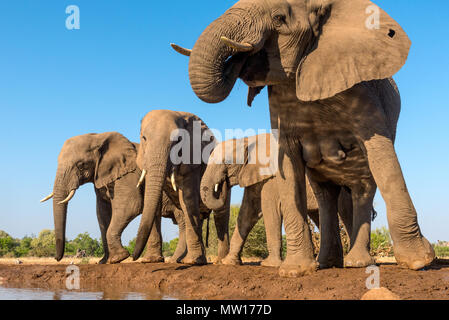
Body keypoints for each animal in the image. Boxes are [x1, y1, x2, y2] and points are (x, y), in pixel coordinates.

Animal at [38, 131, 186, 264]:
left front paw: (118, 258)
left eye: (81, 165)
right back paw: (157, 260)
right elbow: (102, 214)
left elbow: (132, 205)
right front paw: (104, 261)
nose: (56, 258)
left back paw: (175, 260)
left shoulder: (129, 174)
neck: (99, 137)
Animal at [130, 110, 228, 264]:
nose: (133, 257)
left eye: (178, 140)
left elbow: (187, 198)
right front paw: (151, 260)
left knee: (221, 215)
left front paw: (193, 262)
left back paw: (219, 261)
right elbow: (155, 202)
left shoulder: (193, 162)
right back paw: (182, 260)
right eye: (144, 138)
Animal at [175, 0, 434, 276]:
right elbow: (280, 175)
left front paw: (419, 262)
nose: (238, 59)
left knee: (360, 192)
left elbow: (383, 157)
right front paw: (294, 270)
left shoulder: (360, 90)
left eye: (278, 18)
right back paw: (328, 263)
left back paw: (357, 263)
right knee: (326, 197)